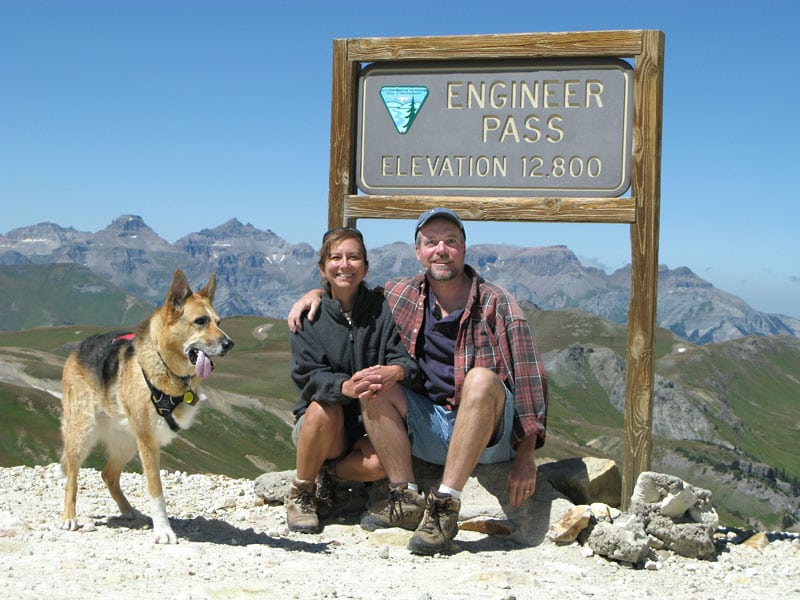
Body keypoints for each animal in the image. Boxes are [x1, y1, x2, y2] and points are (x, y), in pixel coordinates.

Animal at [59, 270, 234, 540]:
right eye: (200, 321)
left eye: (219, 322)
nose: (229, 344)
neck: (165, 366)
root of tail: (78, 348)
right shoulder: (149, 443)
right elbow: (156, 492)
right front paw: (163, 531)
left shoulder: (145, 440)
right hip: (82, 434)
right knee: (72, 477)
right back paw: (69, 517)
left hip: (127, 443)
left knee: (108, 475)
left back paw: (129, 511)